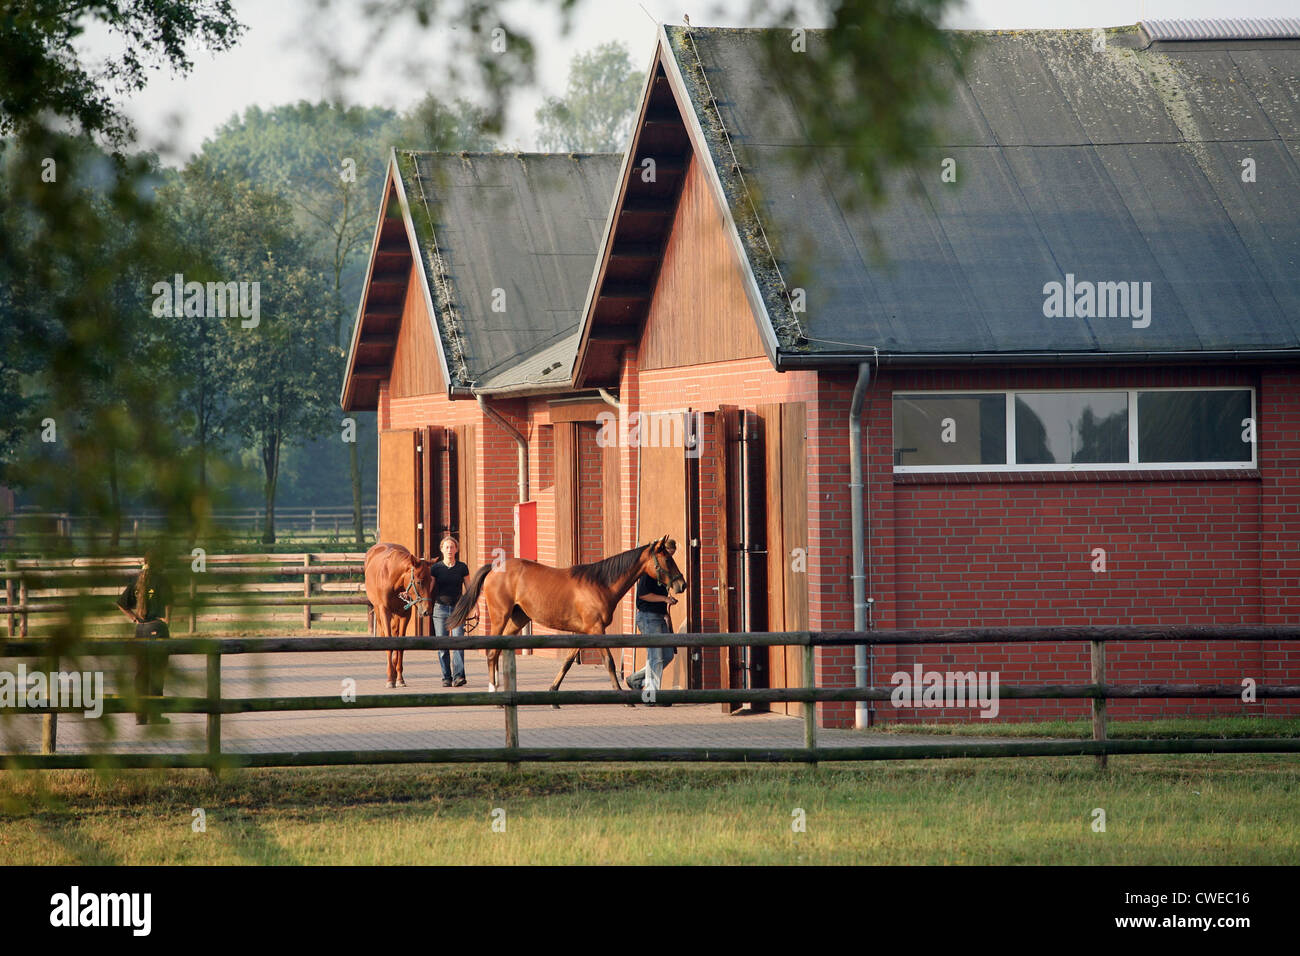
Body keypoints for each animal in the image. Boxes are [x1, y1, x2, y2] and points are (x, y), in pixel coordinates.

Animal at [361, 546, 436, 686]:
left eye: (431, 581)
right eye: (419, 582)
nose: (427, 611)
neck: (392, 578)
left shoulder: (405, 614)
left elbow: (400, 644)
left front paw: (400, 678)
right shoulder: (384, 611)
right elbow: (389, 641)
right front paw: (390, 679)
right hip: (378, 611)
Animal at [447, 535, 686, 697]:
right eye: (667, 560)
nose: (681, 584)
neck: (600, 583)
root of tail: (495, 568)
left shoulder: (584, 632)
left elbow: (568, 661)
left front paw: (553, 690)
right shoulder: (596, 630)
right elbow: (608, 661)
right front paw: (621, 694)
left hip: (518, 619)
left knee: (498, 650)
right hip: (500, 616)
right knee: (491, 651)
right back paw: (493, 691)